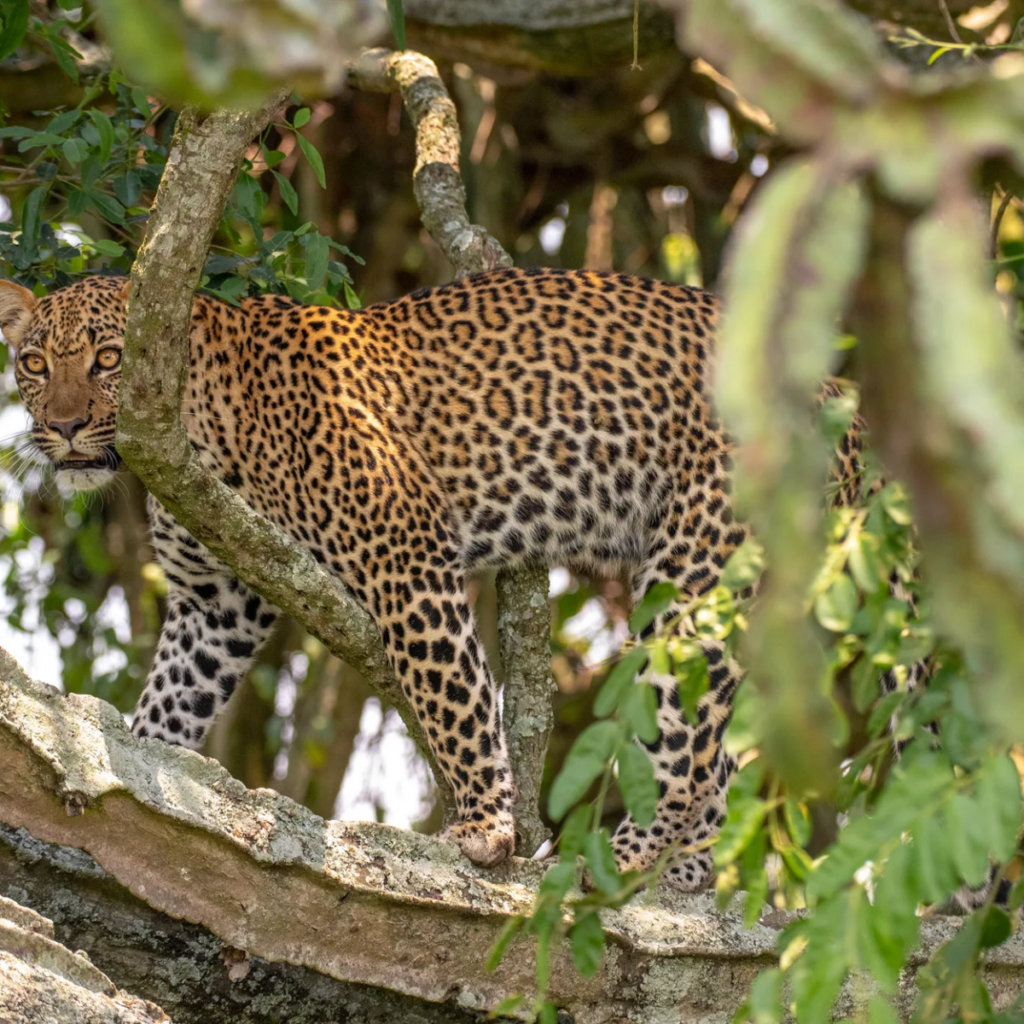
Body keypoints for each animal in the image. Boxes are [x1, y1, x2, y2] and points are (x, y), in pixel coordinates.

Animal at [0, 267, 866, 887]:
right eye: (34, 363)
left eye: (110, 358)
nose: (64, 427)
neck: (197, 434)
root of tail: (840, 397)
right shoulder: (214, 604)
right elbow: (171, 701)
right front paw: (140, 778)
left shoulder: (405, 559)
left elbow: (454, 699)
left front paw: (485, 830)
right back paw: (689, 865)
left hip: (695, 567)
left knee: (685, 736)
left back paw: (628, 852)